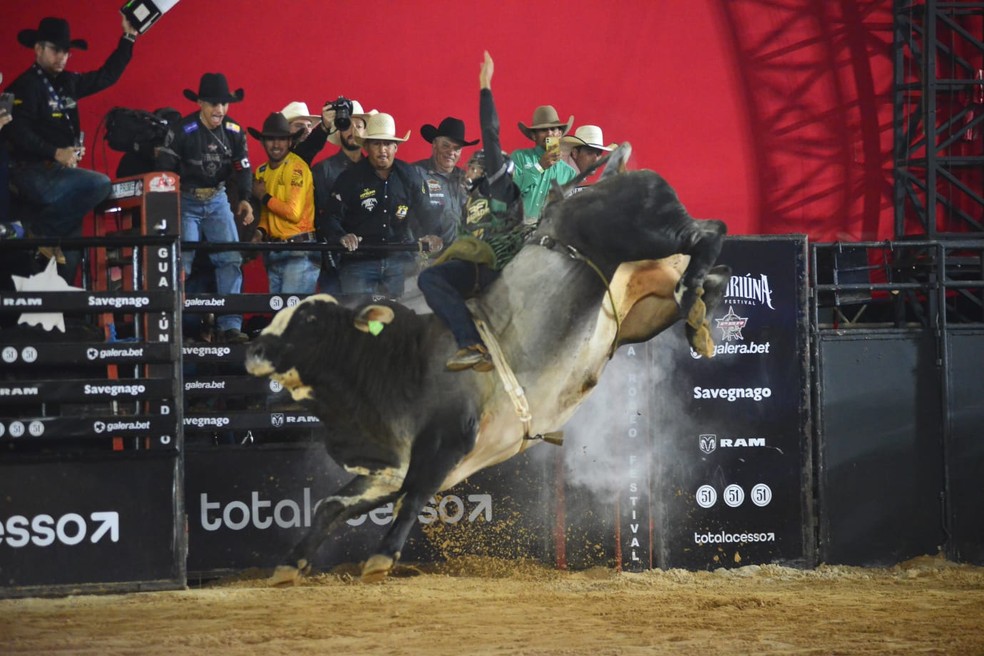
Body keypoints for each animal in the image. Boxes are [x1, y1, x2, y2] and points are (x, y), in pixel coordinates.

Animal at [242, 154, 728, 584]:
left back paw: (693, 290)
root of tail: (610, 176)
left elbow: (414, 497)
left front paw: (380, 559)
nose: (255, 348)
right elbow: (331, 505)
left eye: (309, 320)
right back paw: (698, 316)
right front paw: (289, 565)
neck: (392, 362)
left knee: (709, 232)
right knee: (706, 266)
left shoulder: (448, 440)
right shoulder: (388, 469)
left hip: (640, 229)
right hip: (642, 309)